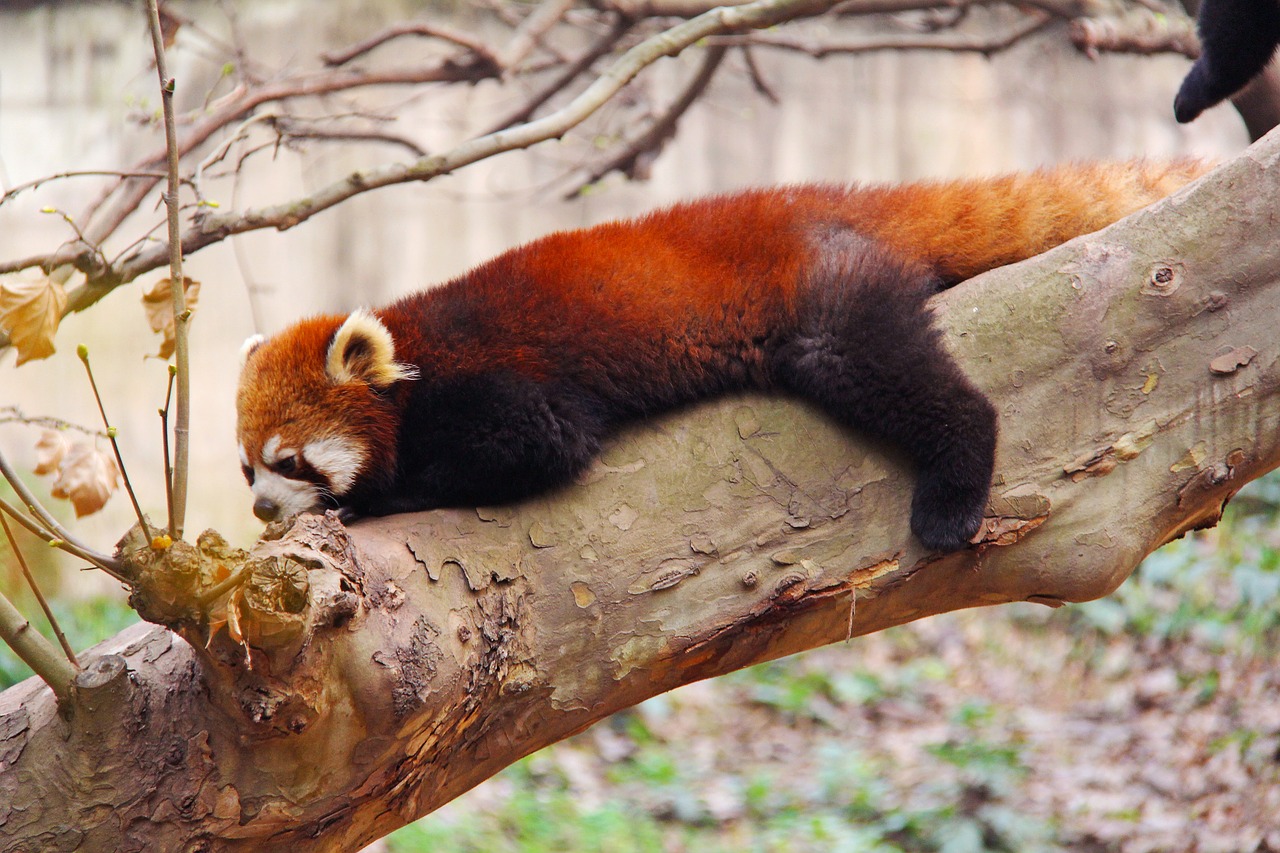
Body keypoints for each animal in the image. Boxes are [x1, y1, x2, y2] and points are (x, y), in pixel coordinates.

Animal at [238, 157, 1208, 550]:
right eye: (246, 466)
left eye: (289, 461)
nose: (257, 510)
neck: (416, 351)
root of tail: (816, 198)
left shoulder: (499, 383)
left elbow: (539, 444)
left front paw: (374, 498)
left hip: (825, 304)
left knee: (912, 382)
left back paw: (953, 491)